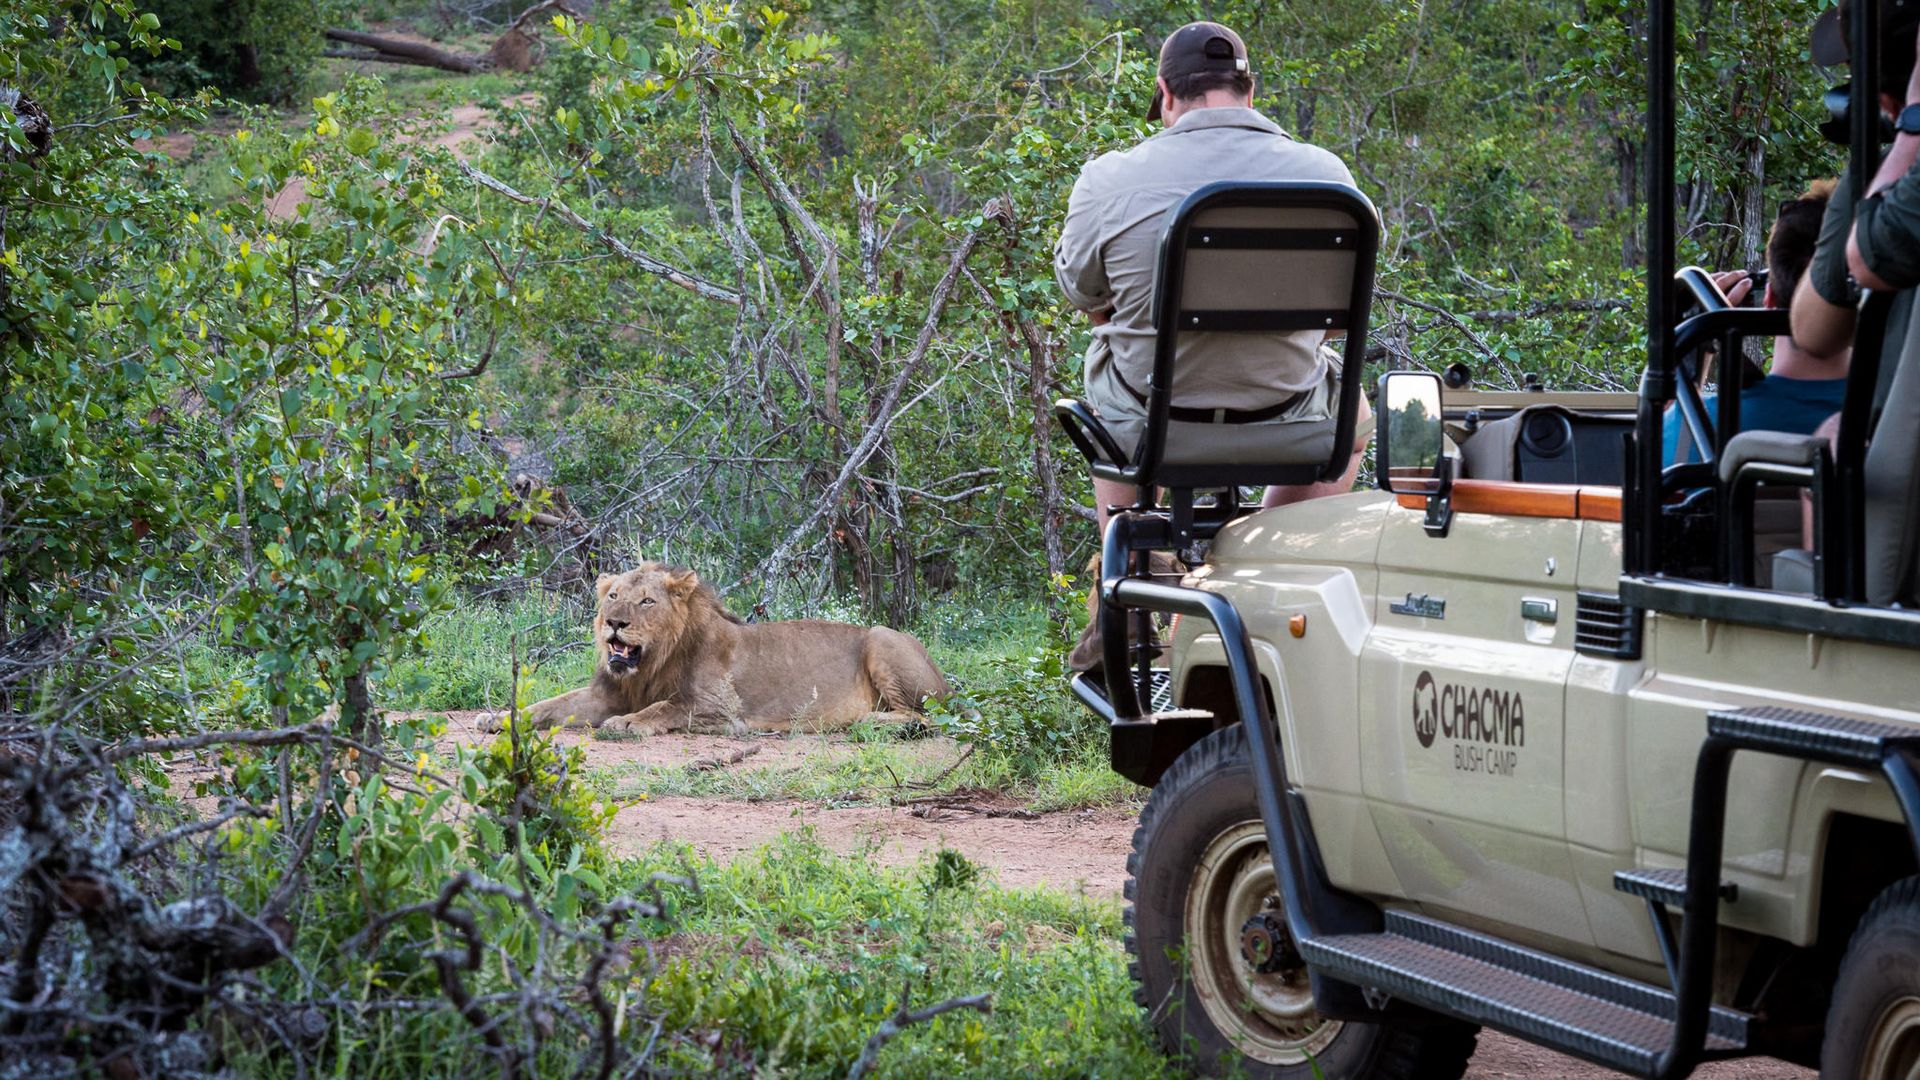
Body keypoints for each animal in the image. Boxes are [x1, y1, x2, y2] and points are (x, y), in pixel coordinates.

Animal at [495, 564, 944, 730]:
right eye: (614, 596)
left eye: (647, 601)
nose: (614, 624)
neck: (651, 664)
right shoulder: (608, 693)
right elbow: (551, 704)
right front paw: (498, 717)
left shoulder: (719, 705)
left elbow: (664, 707)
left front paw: (626, 723)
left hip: (882, 636)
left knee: (923, 716)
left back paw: (868, 720)